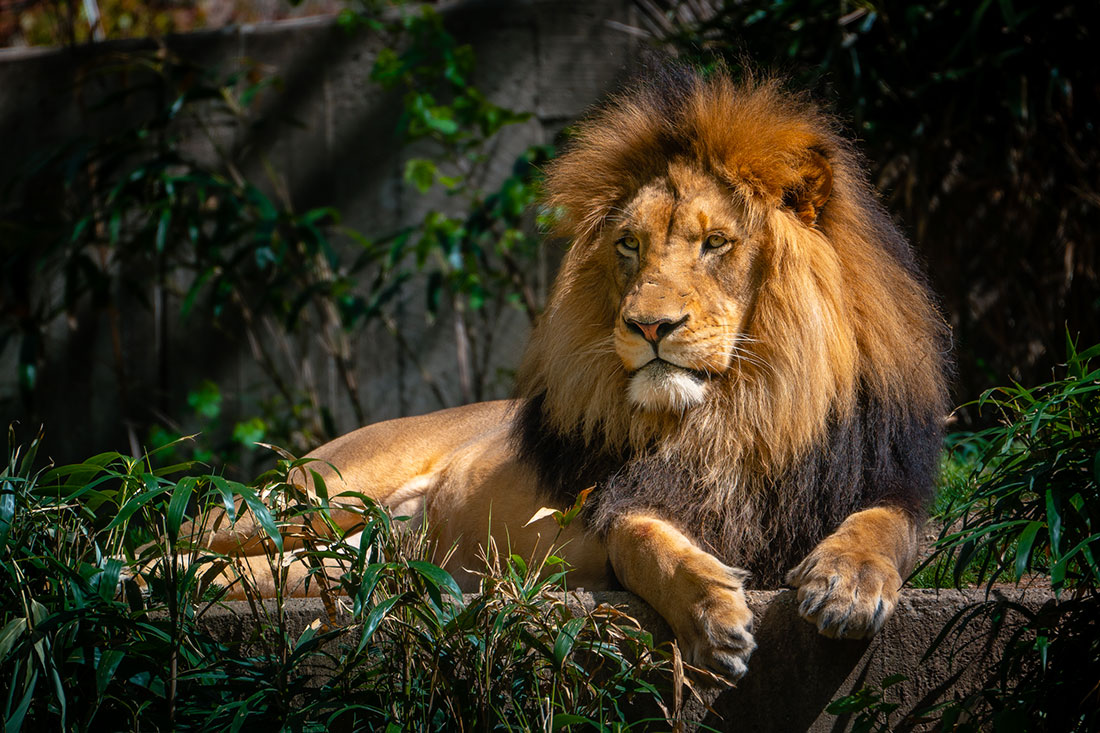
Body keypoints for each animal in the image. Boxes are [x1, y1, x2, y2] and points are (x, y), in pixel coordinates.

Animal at [193, 68, 950, 677]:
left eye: (715, 243)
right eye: (629, 245)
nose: (649, 326)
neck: (742, 411)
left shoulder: (888, 481)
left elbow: (881, 525)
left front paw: (847, 585)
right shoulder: (610, 509)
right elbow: (646, 541)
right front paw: (713, 617)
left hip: (325, 553)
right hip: (305, 498)